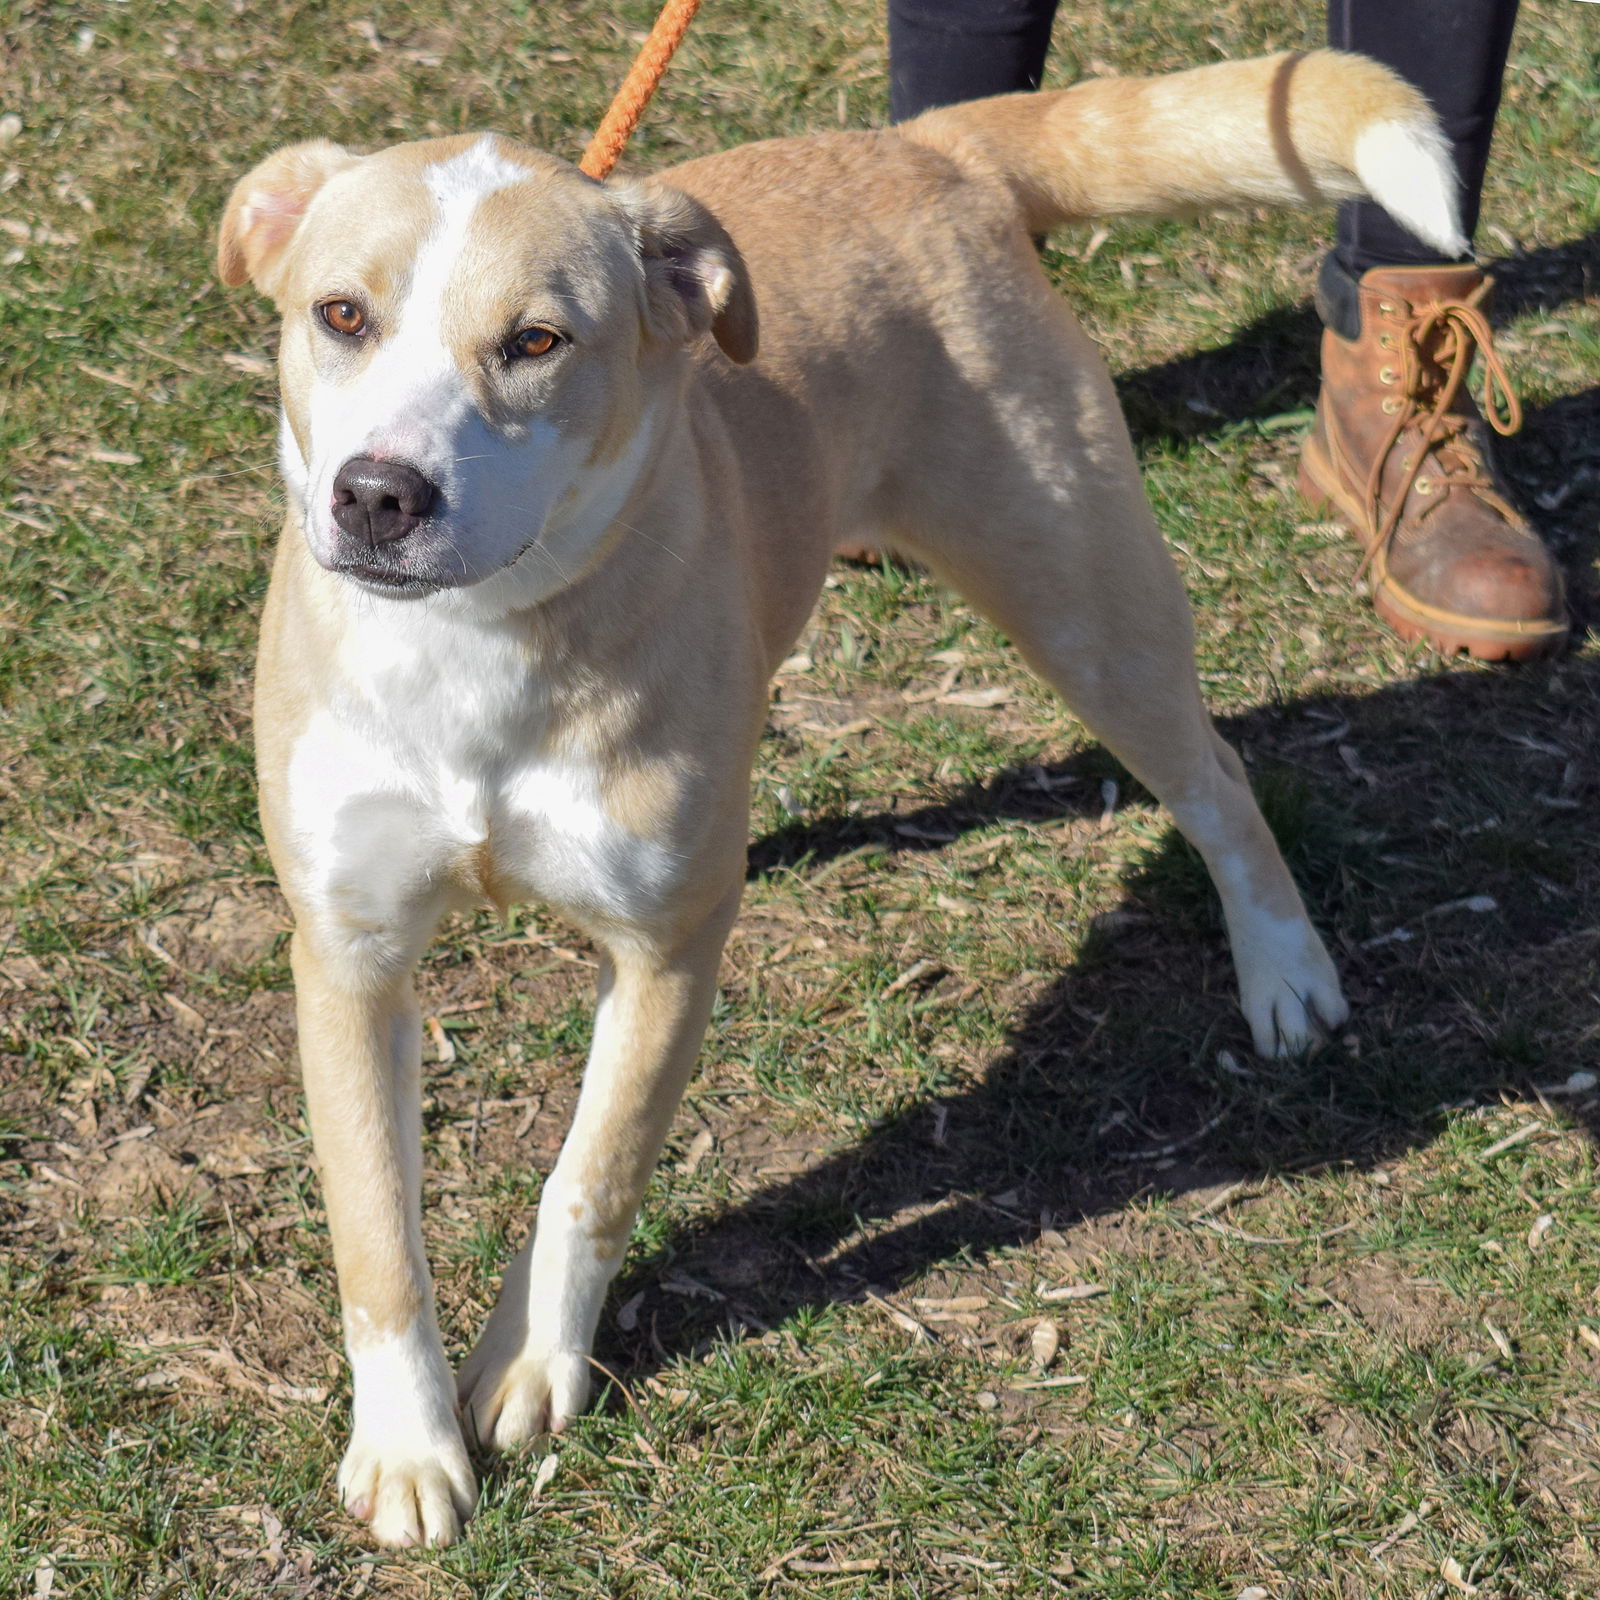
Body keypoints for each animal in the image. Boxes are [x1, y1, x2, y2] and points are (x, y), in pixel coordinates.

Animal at [222, 50, 1465, 1542]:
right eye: (339, 314)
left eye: (536, 342)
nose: (378, 495)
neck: (480, 644)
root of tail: (926, 147)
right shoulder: (348, 954)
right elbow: (375, 1233)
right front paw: (407, 1449)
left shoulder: (669, 950)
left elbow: (591, 1173)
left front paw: (530, 1362)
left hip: (1081, 596)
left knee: (1216, 779)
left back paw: (1284, 970)